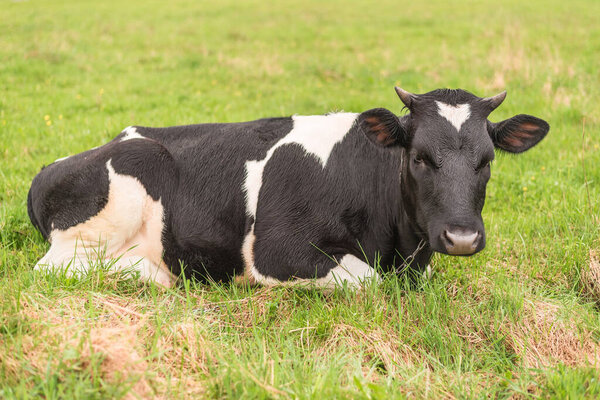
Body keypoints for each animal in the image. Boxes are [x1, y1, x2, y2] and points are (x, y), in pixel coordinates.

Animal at [30, 87, 552, 288]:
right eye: (419, 157)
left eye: (486, 161)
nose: (461, 237)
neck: (397, 246)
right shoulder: (276, 251)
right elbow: (365, 279)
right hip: (120, 191)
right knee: (59, 267)